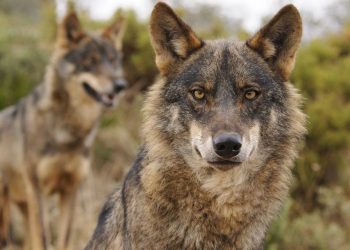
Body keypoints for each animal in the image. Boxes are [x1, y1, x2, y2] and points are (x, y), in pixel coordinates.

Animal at [0, 10, 126, 250]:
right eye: (91, 62)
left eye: (113, 60)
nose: (120, 85)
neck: (69, 133)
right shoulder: (37, 191)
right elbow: (43, 238)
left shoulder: (70, 190)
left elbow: (64, 239)